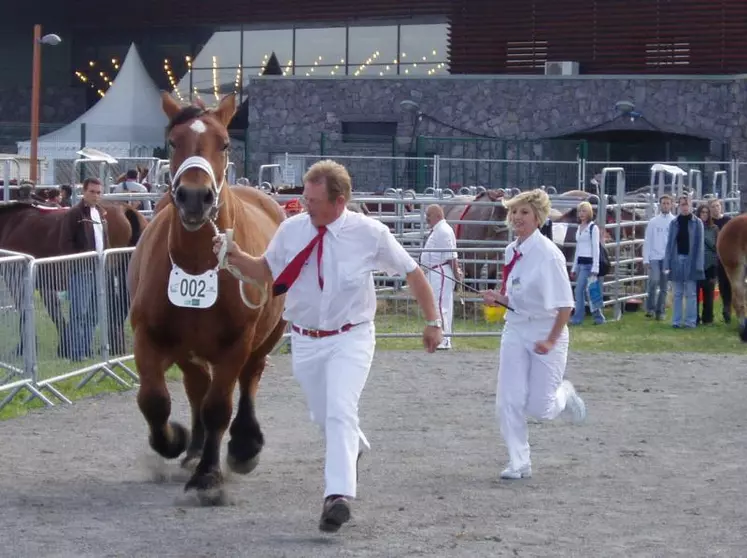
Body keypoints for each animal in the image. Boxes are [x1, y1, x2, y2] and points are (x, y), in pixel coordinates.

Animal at [0, 201, 148, 358]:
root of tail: (126, 209)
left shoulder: (16, 277)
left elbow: (25, 310)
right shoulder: (44, 282)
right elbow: (54, 310)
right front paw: (65, 345)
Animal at [129, 93, 286, 504]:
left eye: (226, 144)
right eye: (172, 141)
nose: (195, 197)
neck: (198, 265)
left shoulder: (235, 344)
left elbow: (219, 407)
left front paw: (208, 476)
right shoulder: (148, 337)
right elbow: (154, 400)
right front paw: (176, 440)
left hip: (267, 338)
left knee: (249, 378)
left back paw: (244, 445)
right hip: (189, 351)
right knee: (195, 387)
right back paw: (195, 447)